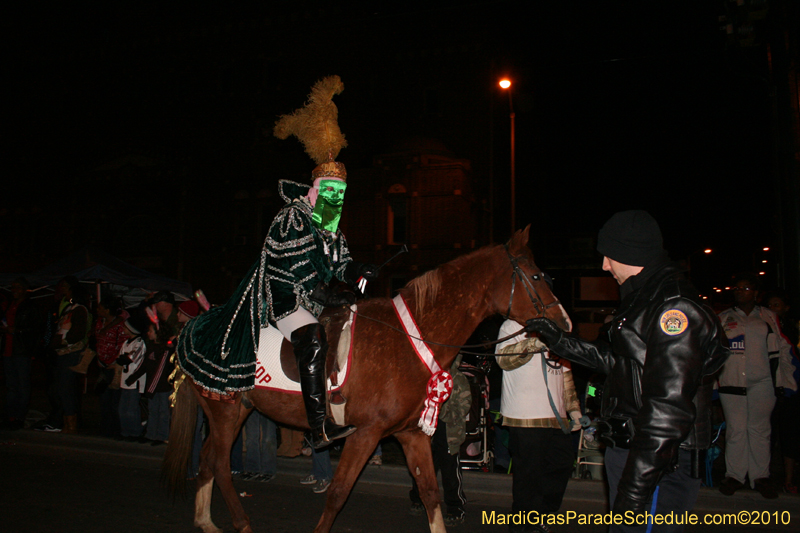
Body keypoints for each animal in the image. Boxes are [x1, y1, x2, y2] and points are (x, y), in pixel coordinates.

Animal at [162, 227, 572, 528]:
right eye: (537, 275)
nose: (565, 324)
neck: (410, 337)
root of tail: (191, 326)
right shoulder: (365, 433)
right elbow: (338, 493)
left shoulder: (409, 433)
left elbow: (429, 493)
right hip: (225, 411)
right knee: (218, 464)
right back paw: (241, 523)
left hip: (236, 410)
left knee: (208, 461)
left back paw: (206, 523)